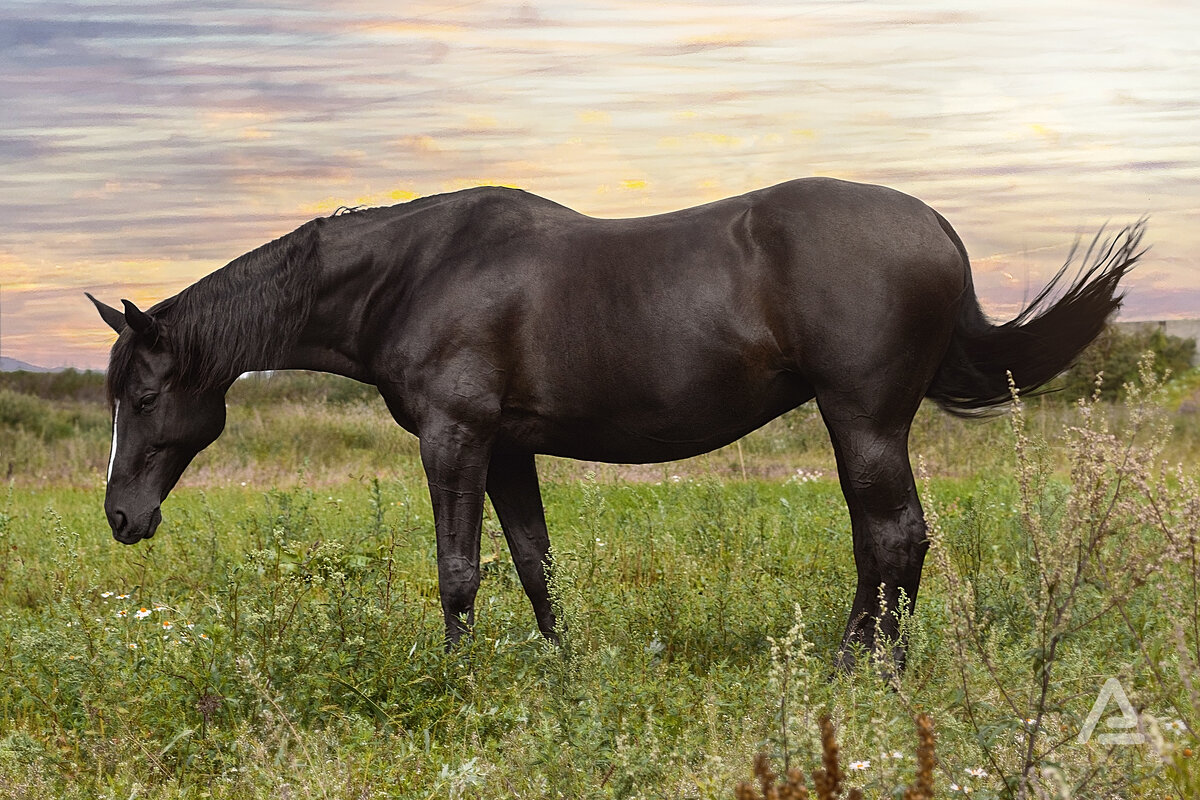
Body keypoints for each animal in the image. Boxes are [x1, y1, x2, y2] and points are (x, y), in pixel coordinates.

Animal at [87, 178, 1142, 666]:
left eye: (145, 396)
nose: (120, 517)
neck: (417, 272)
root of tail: (940, 231)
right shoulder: (506, 448)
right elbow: (533, 563)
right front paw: (560, 669)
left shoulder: (455, 439)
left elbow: (459, 570)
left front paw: (458, 681)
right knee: (888, 542)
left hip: (865, 421)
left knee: (892, 537)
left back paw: (865, 670)